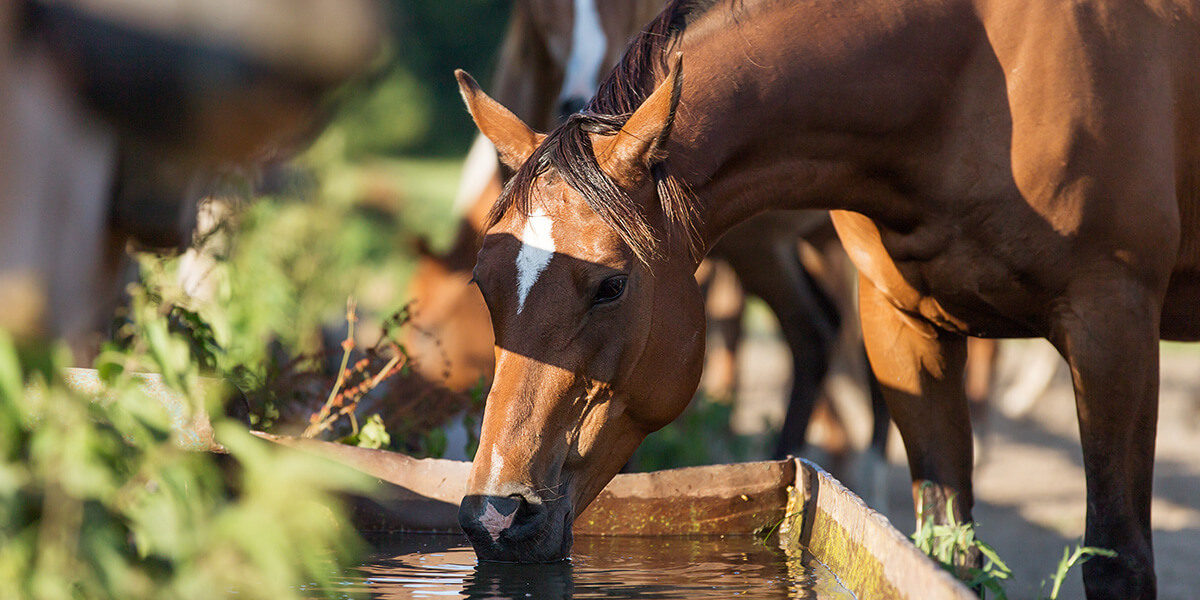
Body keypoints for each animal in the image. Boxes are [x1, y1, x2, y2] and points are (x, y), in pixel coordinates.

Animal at [453, 1, 1200, 595]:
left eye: (610, 285)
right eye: (483, 283)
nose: (493, 516)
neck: (974, 79)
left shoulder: (1111, 328)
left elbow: (1117, 560)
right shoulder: (902, 327)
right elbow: (944, 548)